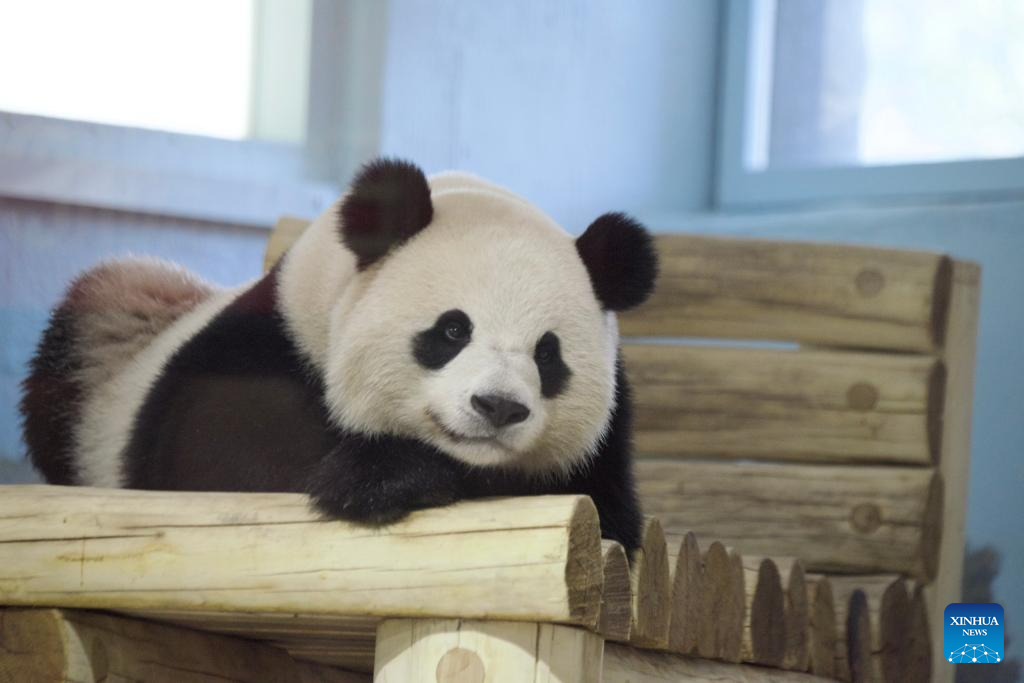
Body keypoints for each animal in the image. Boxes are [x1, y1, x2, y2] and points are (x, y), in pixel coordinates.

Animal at [22, 158, 655, 548]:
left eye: (548, 355)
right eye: (453, 330)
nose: (498, 406)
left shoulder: (606, 446)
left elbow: (608, 512)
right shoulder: (258, 349)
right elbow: (223, 459)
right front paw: (384, 477)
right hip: (101, 343)